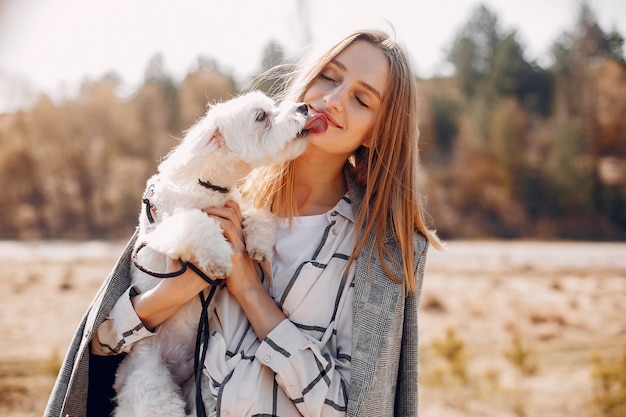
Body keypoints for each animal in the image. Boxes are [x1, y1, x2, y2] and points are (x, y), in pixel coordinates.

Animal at [111, 92, 310, 416]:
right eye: (261, 117)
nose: (304, 107)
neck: (207, 189)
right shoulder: (169, 228)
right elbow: (198, 225)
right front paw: (217, 258)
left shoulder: (236, 208)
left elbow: (255, 217)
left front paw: (258, 244)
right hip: (154, 386)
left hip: (202, 381)